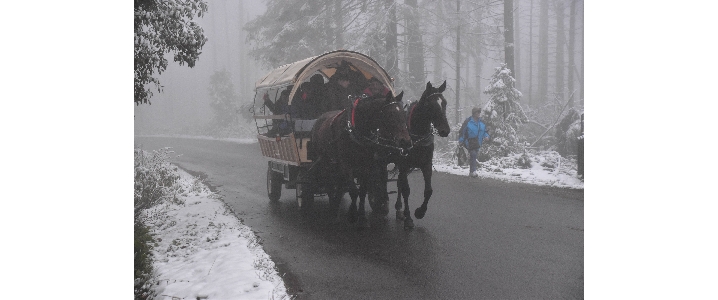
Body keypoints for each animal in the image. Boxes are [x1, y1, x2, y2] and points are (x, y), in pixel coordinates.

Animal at [310, 92, 410, 226]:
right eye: (390, 114)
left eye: (404, 114)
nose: (406, 141)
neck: (356, 129)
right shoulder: (346, 165)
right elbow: (353, 191)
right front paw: (352, 214)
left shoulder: (366, 166)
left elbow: (362, 191)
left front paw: (362, 217)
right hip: (325, 162)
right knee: (329, 184)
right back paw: (333, 209)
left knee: (339, 184)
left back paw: (336, 204)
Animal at [396, 81, 452, 229]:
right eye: (430, 104)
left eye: (444, 102)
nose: (445, 130)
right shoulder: (403, 165)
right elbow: (406, 190)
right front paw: (409, 218)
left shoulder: (426, 164)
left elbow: (428, 191)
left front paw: (420, 212)